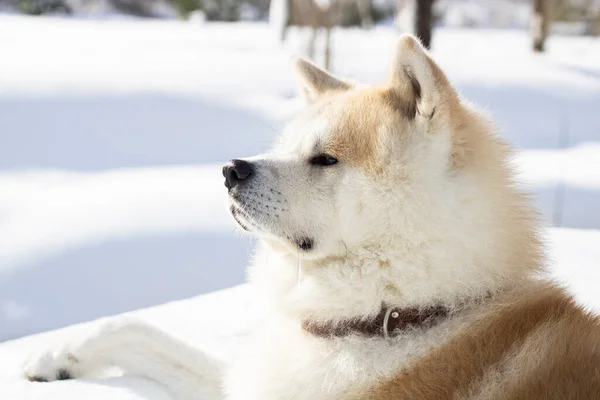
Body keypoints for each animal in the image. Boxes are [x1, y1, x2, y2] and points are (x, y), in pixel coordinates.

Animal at [22, 35, 600, 400]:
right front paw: (58, 355)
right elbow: (133, 328)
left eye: (325, 159)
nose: (230, 170)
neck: (395, 314)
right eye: (286, 148)